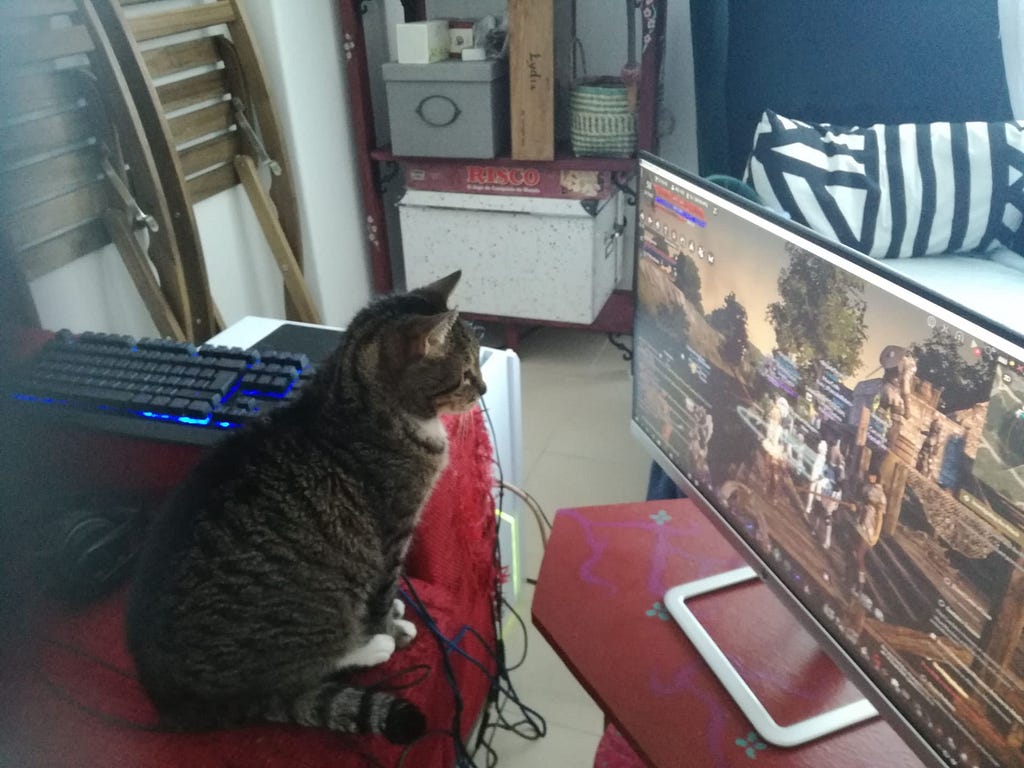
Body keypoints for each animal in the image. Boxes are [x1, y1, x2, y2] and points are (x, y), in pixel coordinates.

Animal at [128, 272, 487, 745]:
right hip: (310, 620)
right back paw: (370, 648)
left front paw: (393, 613)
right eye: (466, 374)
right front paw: (391, 629)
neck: (355, 405)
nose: (484, 389)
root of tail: (172, 702)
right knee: (301, 675)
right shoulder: (393, 535)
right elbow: (381, 596)